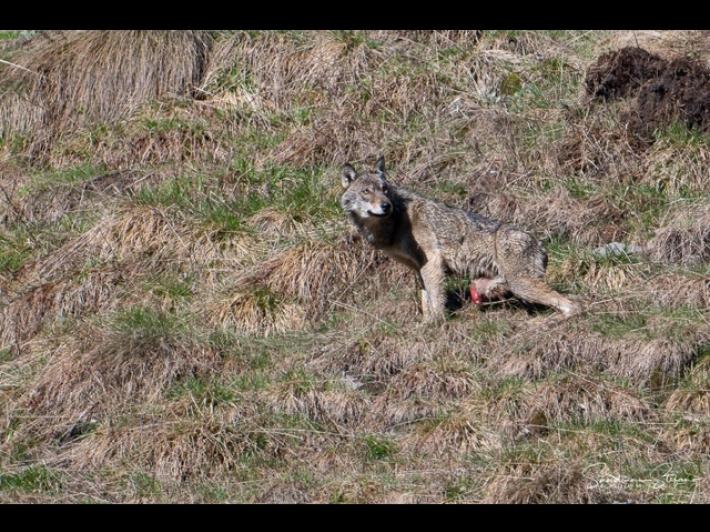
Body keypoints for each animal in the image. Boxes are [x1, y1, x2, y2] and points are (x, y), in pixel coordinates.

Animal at [340, 156, 581, 322]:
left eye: (384, 189)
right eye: (366, 192)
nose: (385, 205)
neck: (395, 223)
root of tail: (540, 244)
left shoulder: (432, 261)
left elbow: (435, 298)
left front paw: (436, 324)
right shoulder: (419, 268)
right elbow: (425, 299)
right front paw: (425, 324)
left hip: (522, 285)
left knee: (572, 305)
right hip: (502, 283)